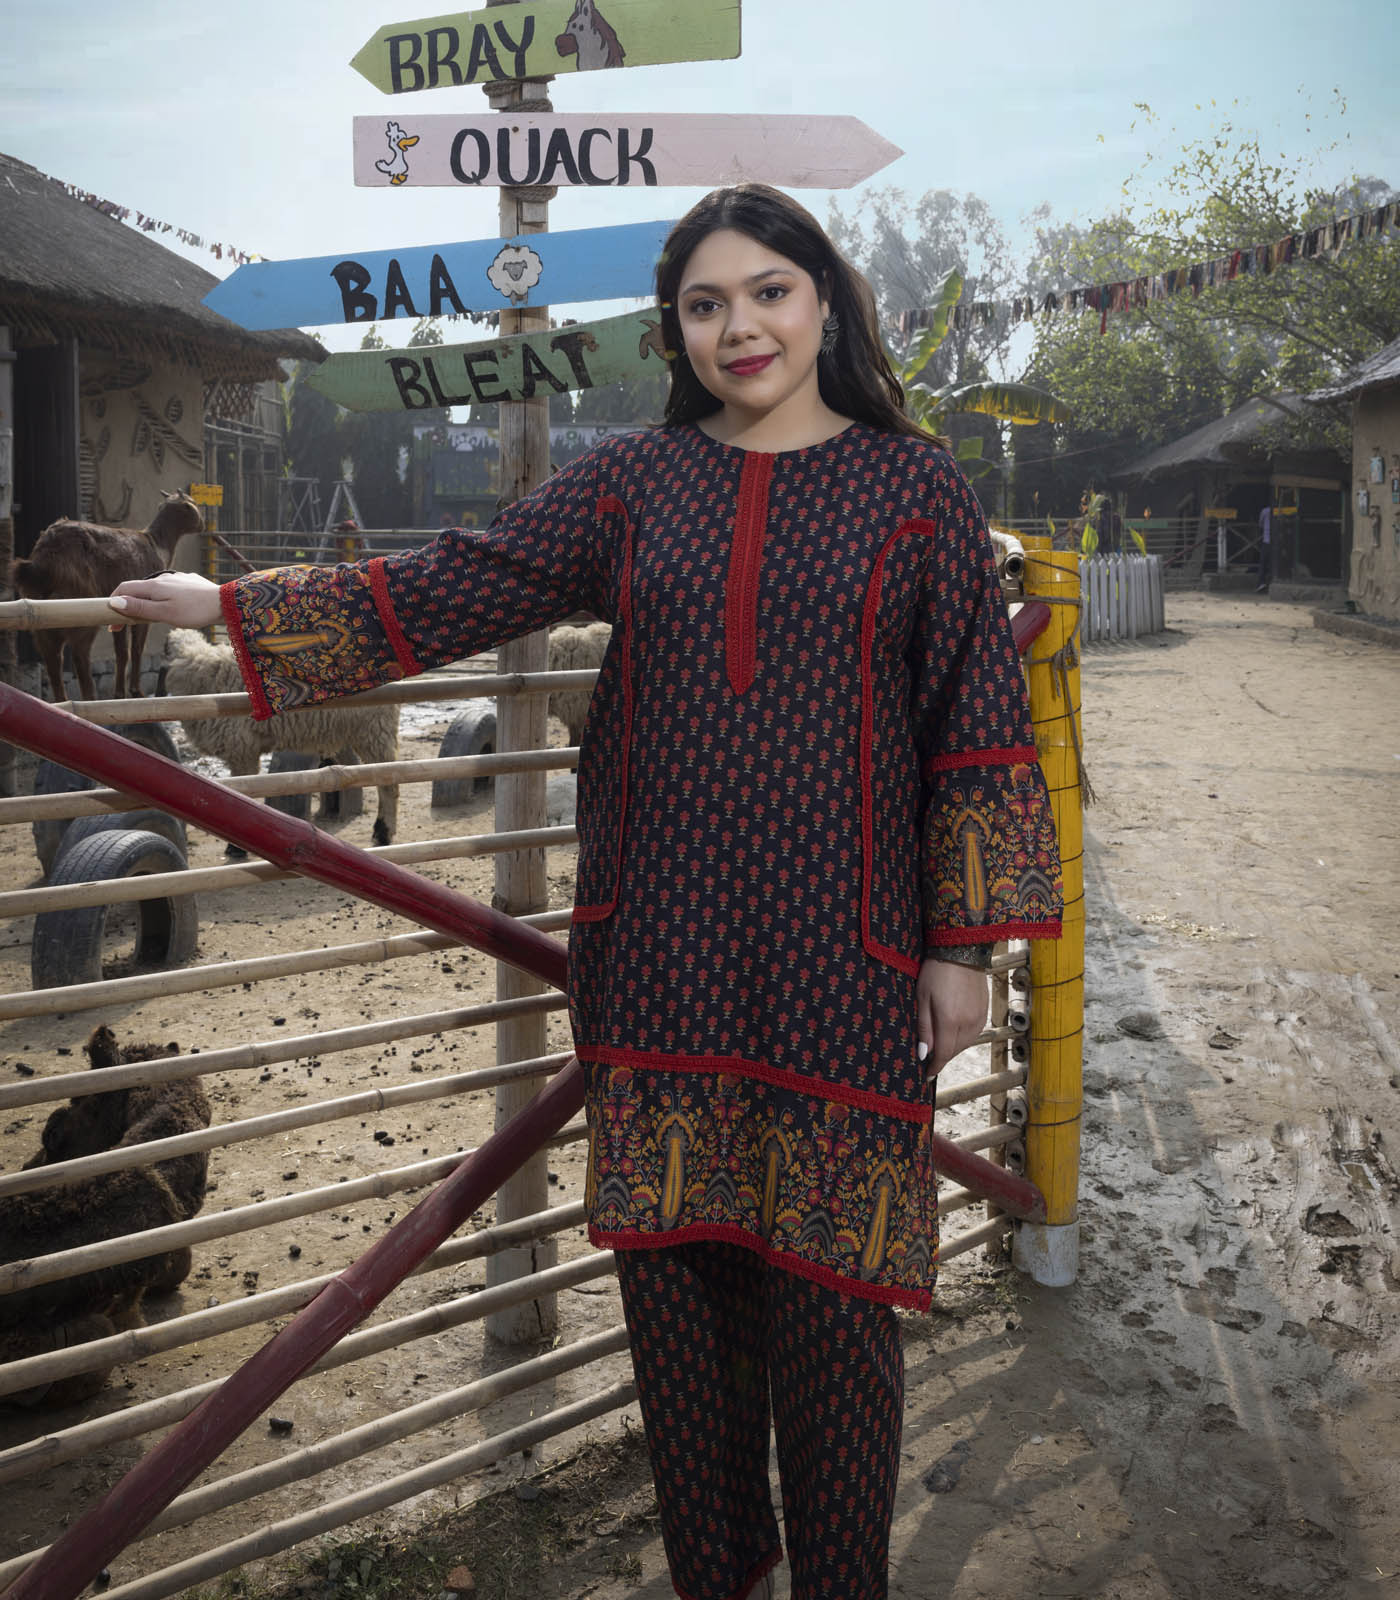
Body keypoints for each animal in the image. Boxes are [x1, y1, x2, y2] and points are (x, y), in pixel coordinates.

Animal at [10, 489, 204, 704]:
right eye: (193, 503)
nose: (202, 524)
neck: (158, 546)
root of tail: (39, 566)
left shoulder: (119, 608)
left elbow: (121, 651)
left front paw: (119, 693)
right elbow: (136, 648)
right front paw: (136, 692)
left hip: (42, 614)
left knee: (52, 655)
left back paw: (63, 700)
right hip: (81, 603)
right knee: (79, 652)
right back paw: (88, 699)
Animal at [168, 627, 404, 851]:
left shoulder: (242, 748)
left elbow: (241, 793)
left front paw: (236, 848)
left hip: (375, 730)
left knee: (389, 783)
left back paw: (383, 833)